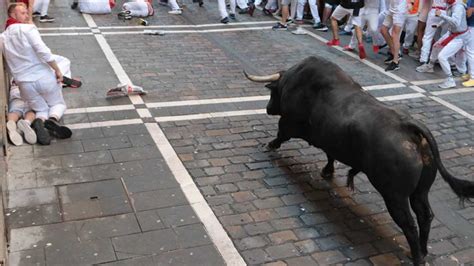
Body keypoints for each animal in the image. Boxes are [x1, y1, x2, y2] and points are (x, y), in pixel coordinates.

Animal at [246, 56, 474, 264]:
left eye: (273, 92)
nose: (267, 108)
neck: (295, 82)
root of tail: (408, 127)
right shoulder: (330, 140)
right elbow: (330, 156)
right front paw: (327, 171)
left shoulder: (289, 123)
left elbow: (280, 135)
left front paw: (268, 146)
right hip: (420, 191)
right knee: (425, 215)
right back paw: (423, 250)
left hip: (395, 196)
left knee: (409, 224)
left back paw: (417, 256)